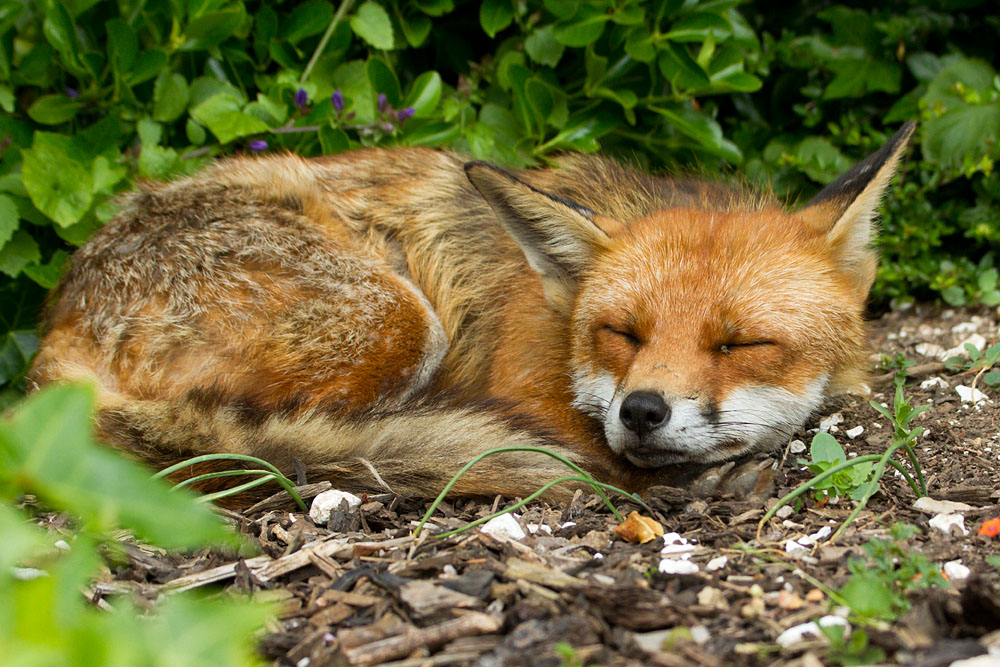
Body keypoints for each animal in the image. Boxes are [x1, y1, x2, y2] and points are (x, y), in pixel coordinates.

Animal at [27, 122, 915, 503]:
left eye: (742, 343)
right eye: (621, 333)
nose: (642, 411)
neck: (555, 323)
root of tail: (57, 319)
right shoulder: (522, 387)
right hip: (394, 319)